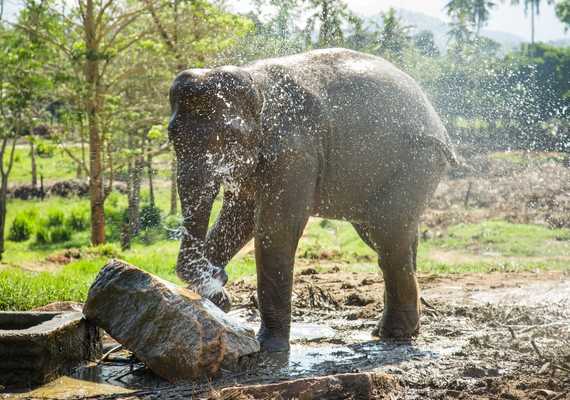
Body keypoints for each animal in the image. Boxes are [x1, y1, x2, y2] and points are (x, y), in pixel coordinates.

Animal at [169, 47, 458, 354]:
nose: (222, 280)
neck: (255, 82)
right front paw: (213, 294)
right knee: (386, 237)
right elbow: (239, 218)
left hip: (418, 159)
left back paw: (394, 335)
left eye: (231, 136)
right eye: (172, 135)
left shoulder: (295, 153)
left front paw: (268, 348)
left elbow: (275, 228)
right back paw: (395, 330)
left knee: (388, 237)